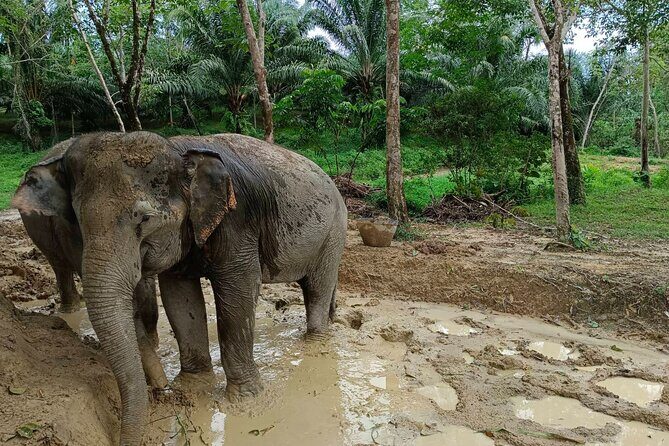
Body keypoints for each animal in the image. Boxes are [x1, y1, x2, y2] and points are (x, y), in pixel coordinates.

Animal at [17, 138, 167, 390]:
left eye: (145, 219)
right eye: (81, 220)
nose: (163, 386)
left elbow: (144, 289)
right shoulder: (68, 228)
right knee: (60, 266)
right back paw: (70, 310)